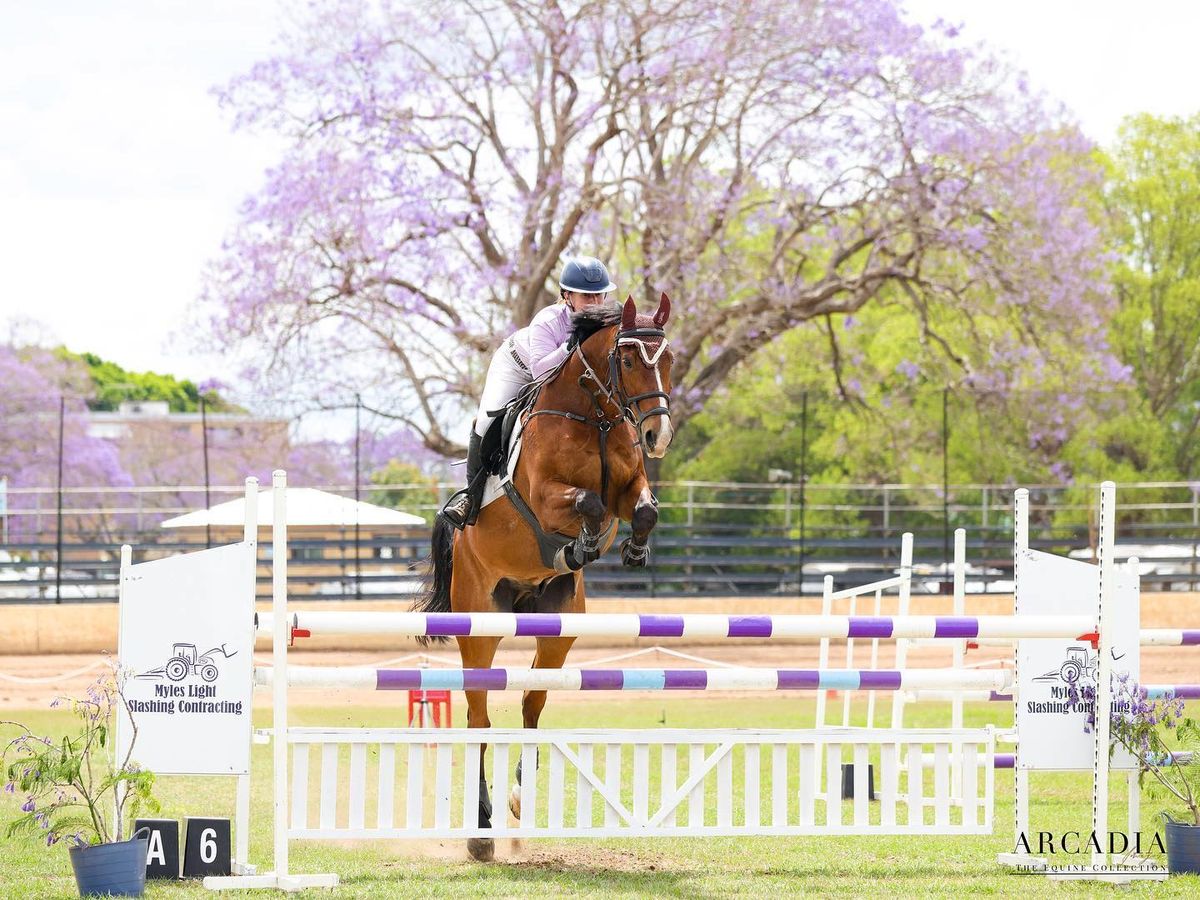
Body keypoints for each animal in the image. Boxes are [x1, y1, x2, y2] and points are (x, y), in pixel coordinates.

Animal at [417, 292, 672, 864]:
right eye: (628, 359)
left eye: (667, 358)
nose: (656, 435)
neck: (595, 416)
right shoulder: (546, 495)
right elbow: (589, 503)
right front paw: (581, 544)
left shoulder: (631, 485)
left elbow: (641, 508)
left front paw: (632, 550)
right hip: (480, 625)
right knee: (479, 717)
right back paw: (482, 832)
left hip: (558, 626)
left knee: (532, 701)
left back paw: (519, 799)